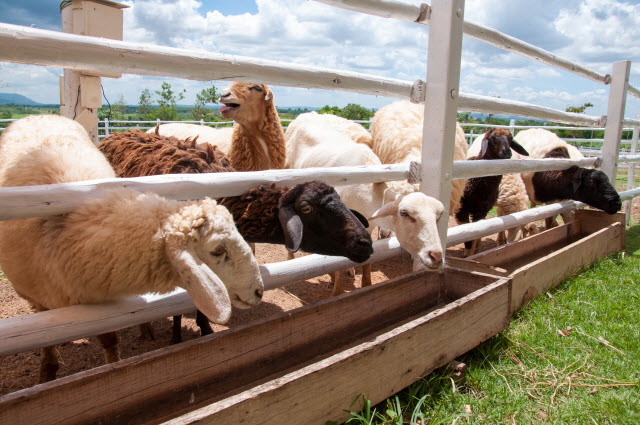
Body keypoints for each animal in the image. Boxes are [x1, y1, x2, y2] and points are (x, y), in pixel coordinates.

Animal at [0, 115, 264, 380]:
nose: (258, 291)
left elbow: (110, 340)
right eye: (217, 250)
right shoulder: (38, 297)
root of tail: (39, 116)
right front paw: (48, 373)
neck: (65, 235)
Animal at [97, 131, 372, 340]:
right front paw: (177, 336)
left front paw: (205, 328)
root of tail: (114, 135)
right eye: (306, 209)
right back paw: (145, 329)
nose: (366, 243)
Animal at [286, 111, 444, 294]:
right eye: (404, 213)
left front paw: (366, 285)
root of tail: (306, 114)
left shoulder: (369, 226)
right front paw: (337, 291)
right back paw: (290, 260)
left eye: (438, 217)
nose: (436, 256)